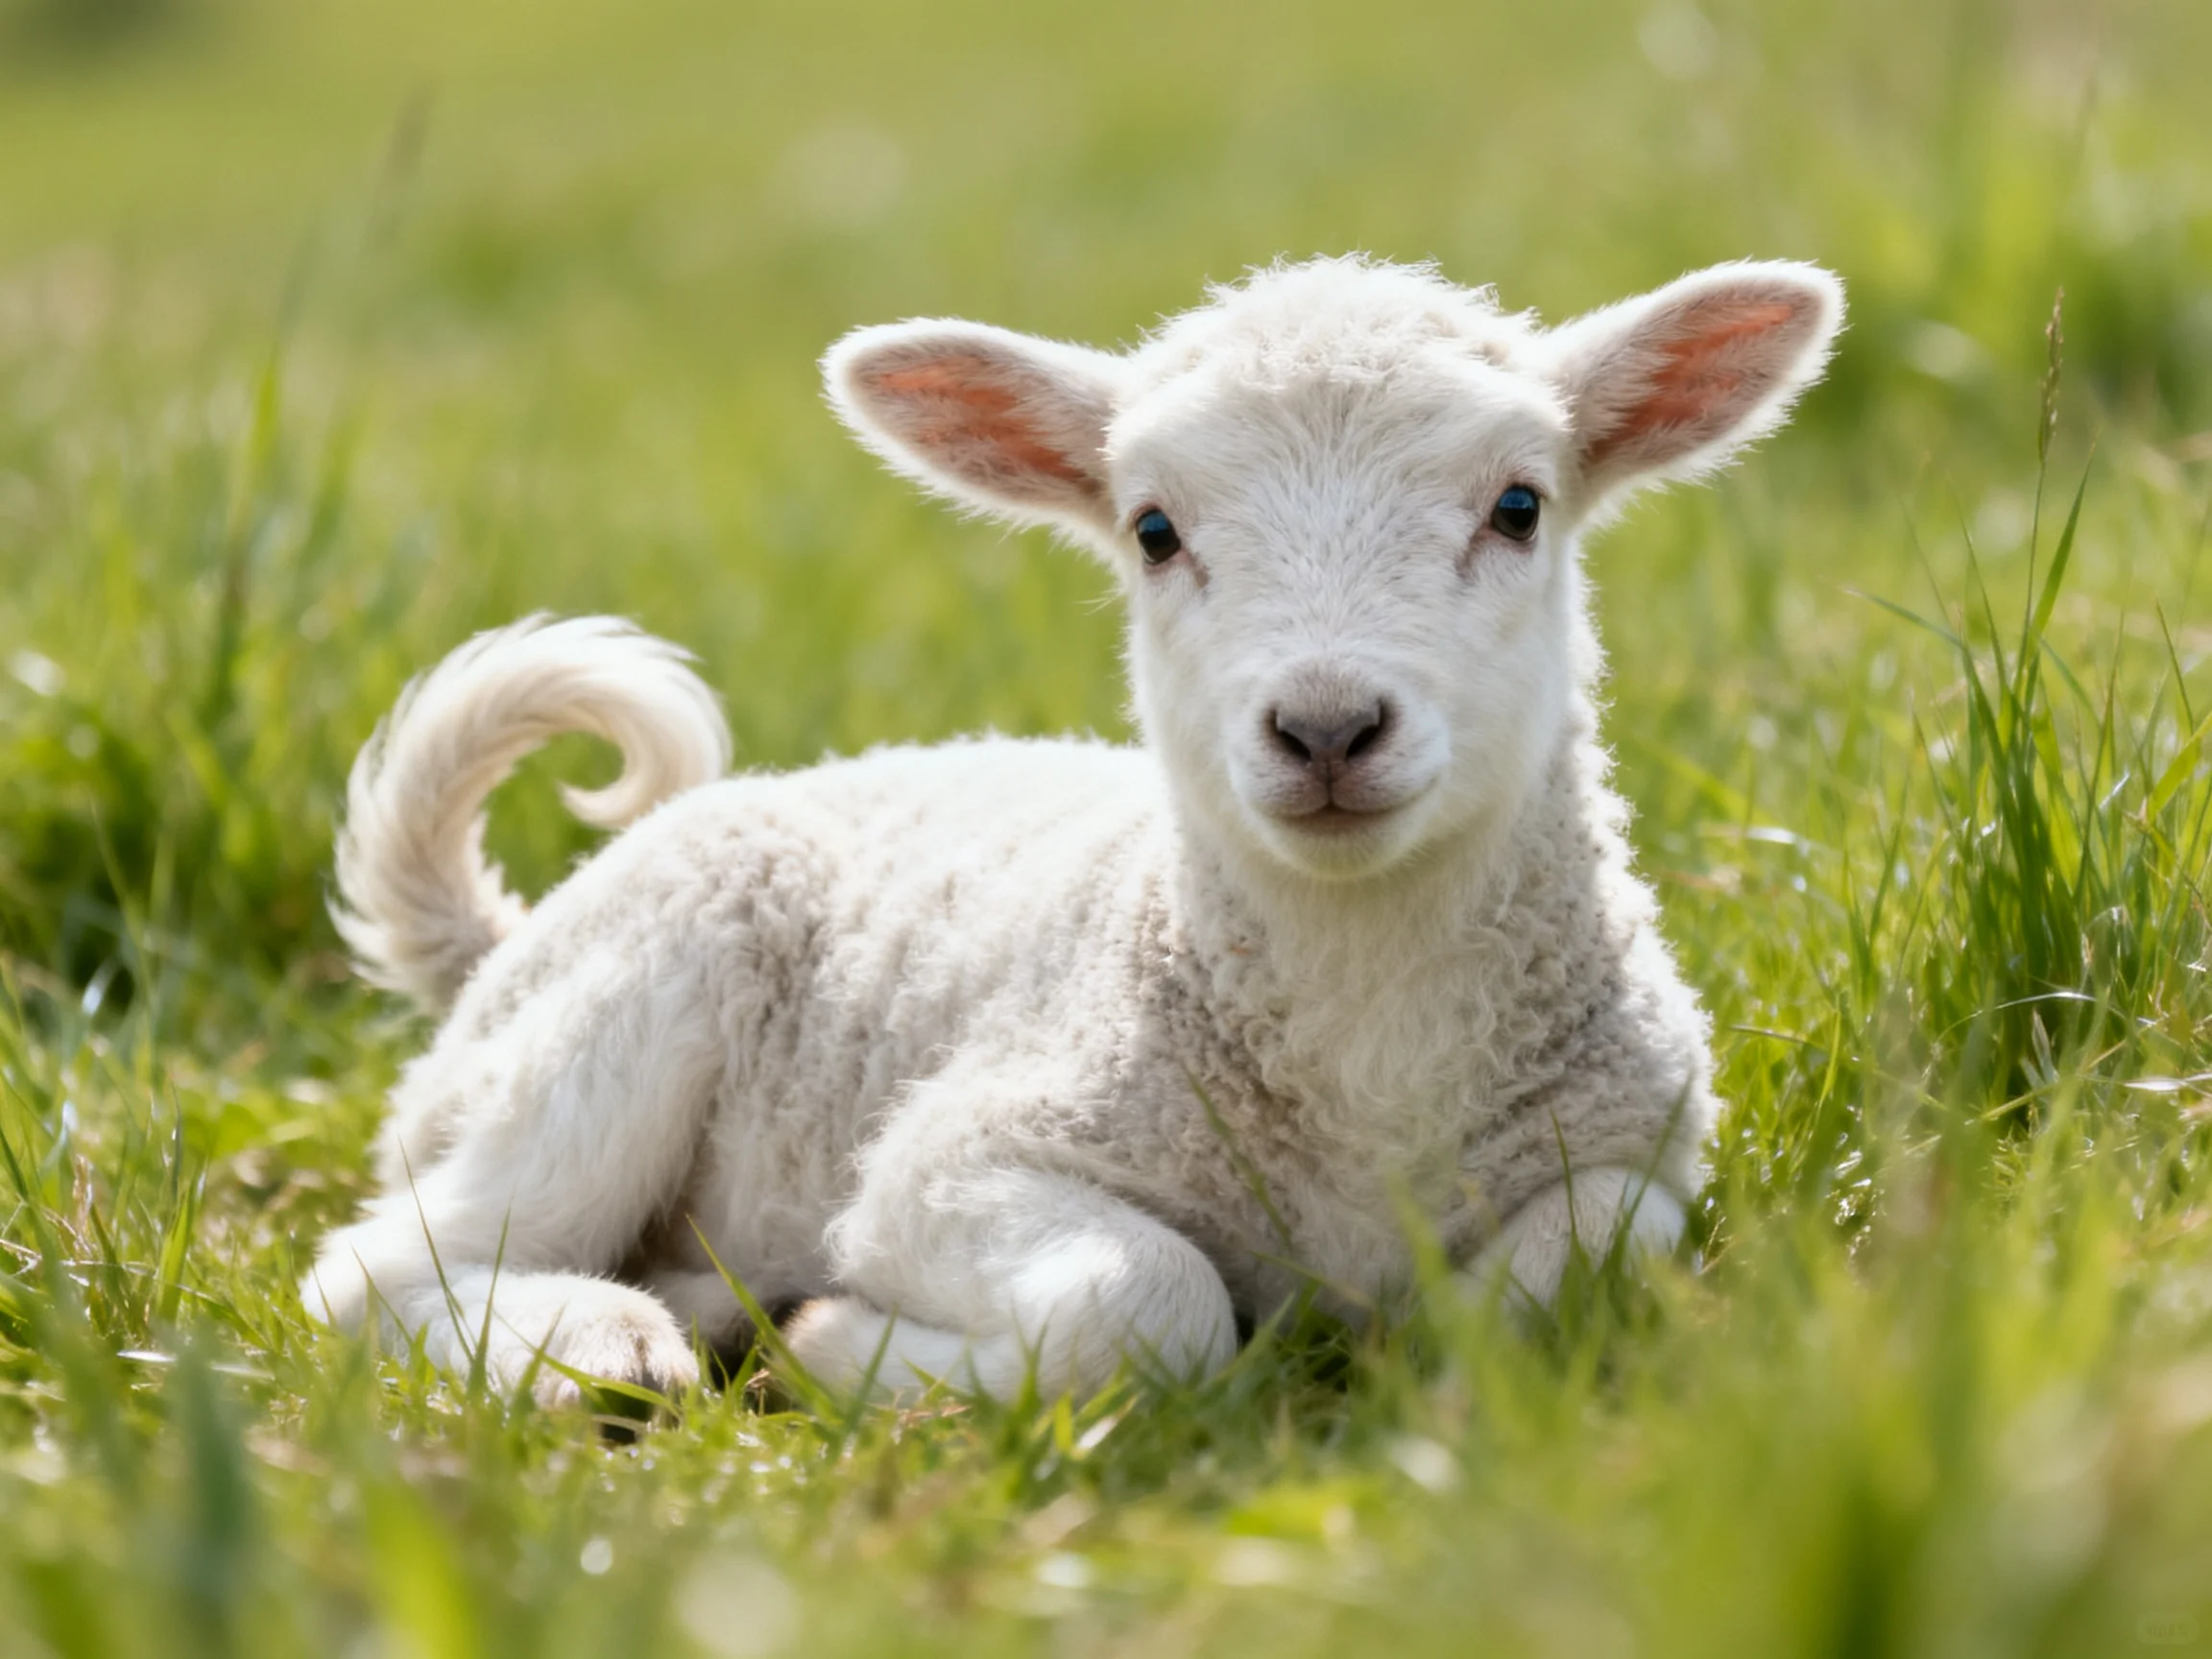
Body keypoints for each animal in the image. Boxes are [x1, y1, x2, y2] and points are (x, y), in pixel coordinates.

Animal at [301, 254, 1845, 1406]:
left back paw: (693, 1304)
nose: (1327, 728)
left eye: (1518, 506)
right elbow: (1146, 1304)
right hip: (615, 1019)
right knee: (376, 1267)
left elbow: (1559, 1293)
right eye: (1154, 531)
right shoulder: (950, 1161)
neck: (1369, 1055)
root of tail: (503, 941)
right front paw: (841, 1346)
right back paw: (611, 1349)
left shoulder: (1637, 1153)